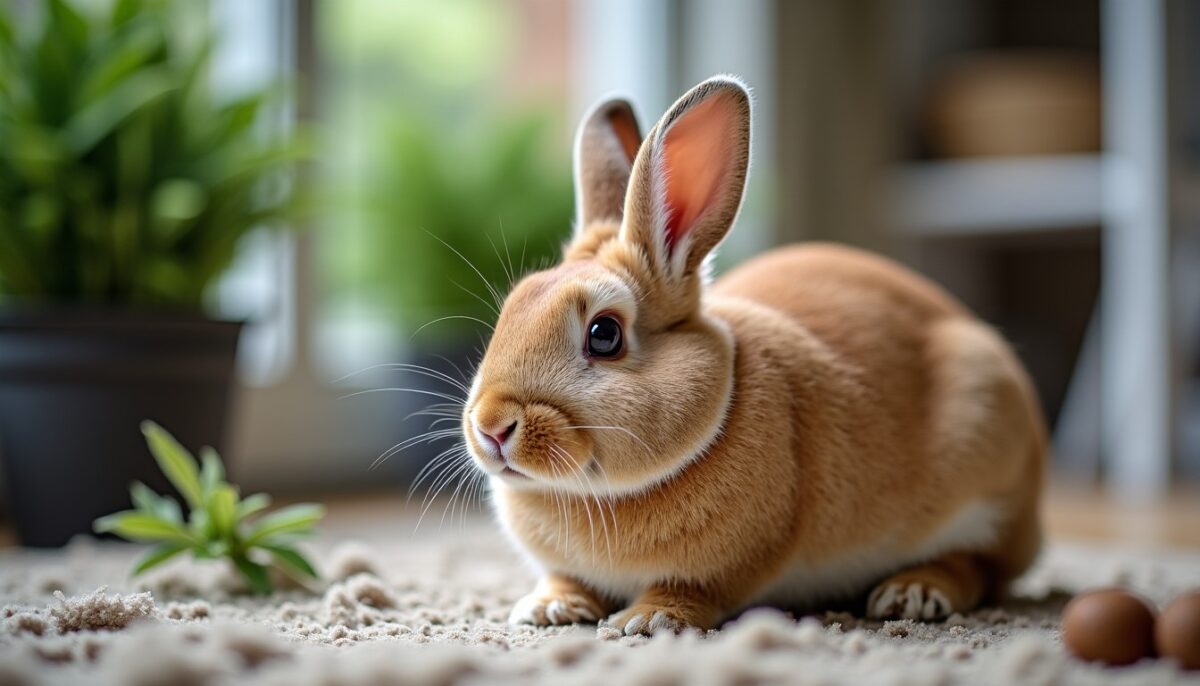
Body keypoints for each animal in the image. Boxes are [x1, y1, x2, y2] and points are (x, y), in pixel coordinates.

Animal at [462, 75, 1046, 636]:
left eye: (604, 335)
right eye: (512, 308)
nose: (491, 427)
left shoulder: (728, 564)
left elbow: (692, 589)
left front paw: (648, 620)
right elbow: (565, 577)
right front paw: (549, 608)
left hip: (987, 464)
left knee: (979, 565)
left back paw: (912, 594)